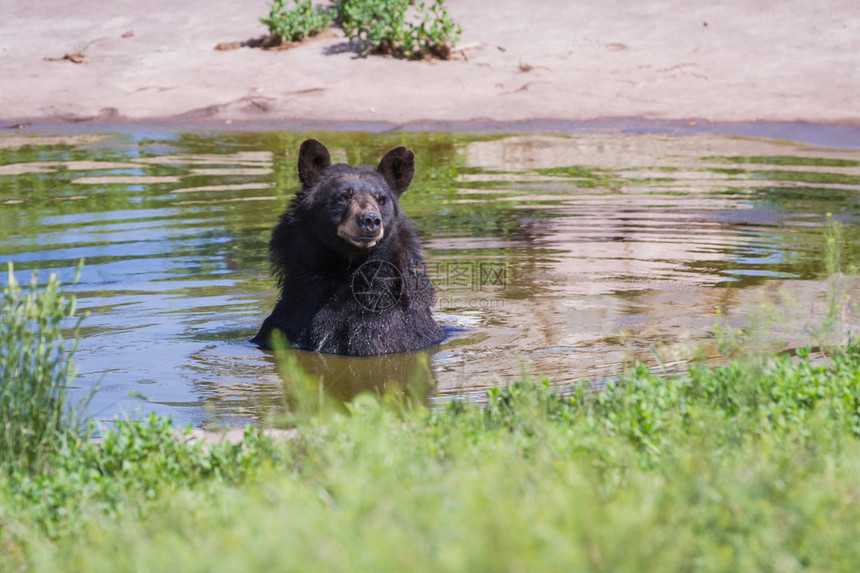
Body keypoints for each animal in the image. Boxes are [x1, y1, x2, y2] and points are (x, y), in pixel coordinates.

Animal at [250, 140, 444, 354]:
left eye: (381, 199)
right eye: (343, 196)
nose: (370, 220)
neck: (344, 268)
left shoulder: (386, 328)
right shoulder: (292, 315)